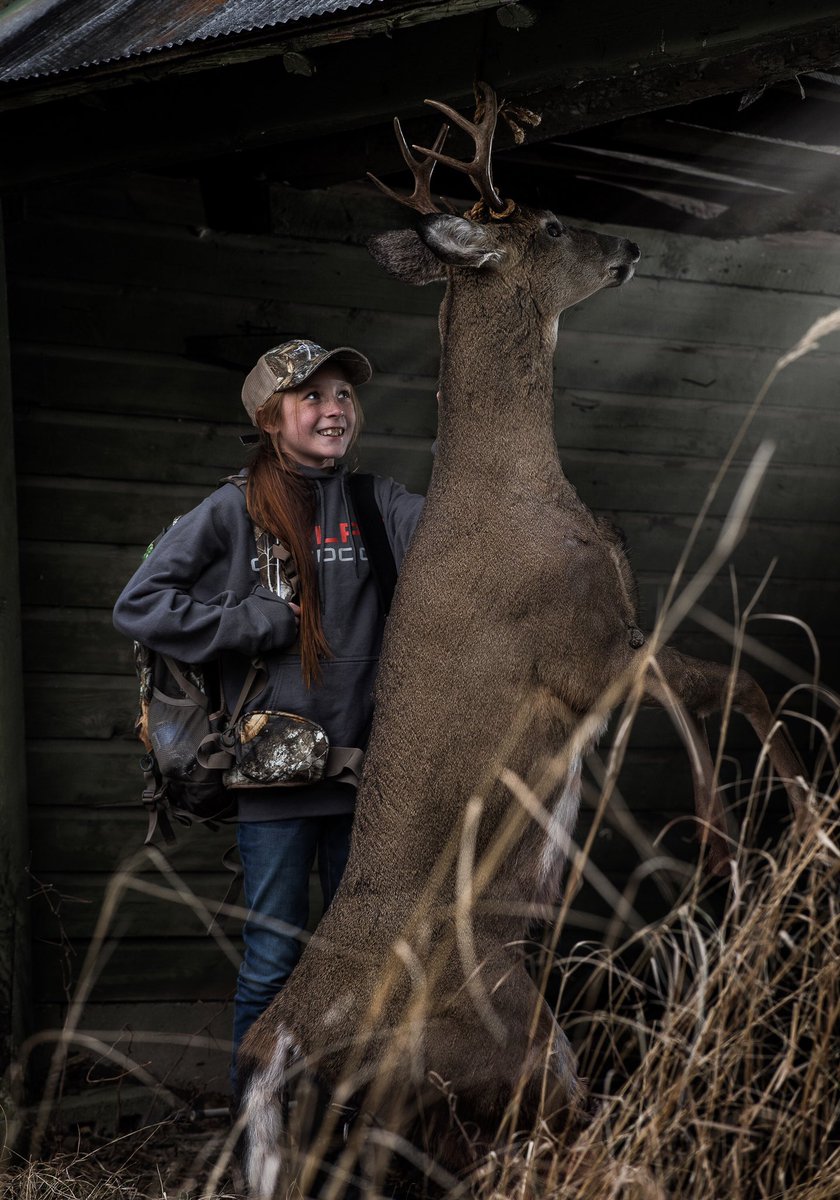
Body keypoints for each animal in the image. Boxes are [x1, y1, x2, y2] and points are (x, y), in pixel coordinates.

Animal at [236, 84, 806, 1196]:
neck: (520, 491)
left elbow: (719, 690)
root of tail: (289, 1034)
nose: (627, 243)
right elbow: (734, 684)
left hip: (421, 1101)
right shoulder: (584, 651)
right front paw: (769, 829)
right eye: (546, 223)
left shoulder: (610, 645)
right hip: (515, 1039)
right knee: (565, 1141)